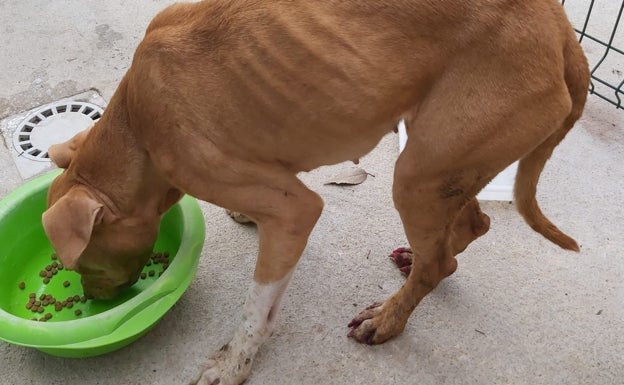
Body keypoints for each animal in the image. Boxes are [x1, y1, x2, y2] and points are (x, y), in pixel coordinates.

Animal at [41, 1, 588, 382]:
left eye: (84, 263)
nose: (91, 298)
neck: (137, 128)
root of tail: (564, 34)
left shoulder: (295, 211)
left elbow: (255, 310)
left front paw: (233, 363)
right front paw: (244, 216)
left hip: (418, 175)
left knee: (440, 262)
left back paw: (389, 319)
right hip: (442, 162)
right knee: (468, 230)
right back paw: (418, 262)